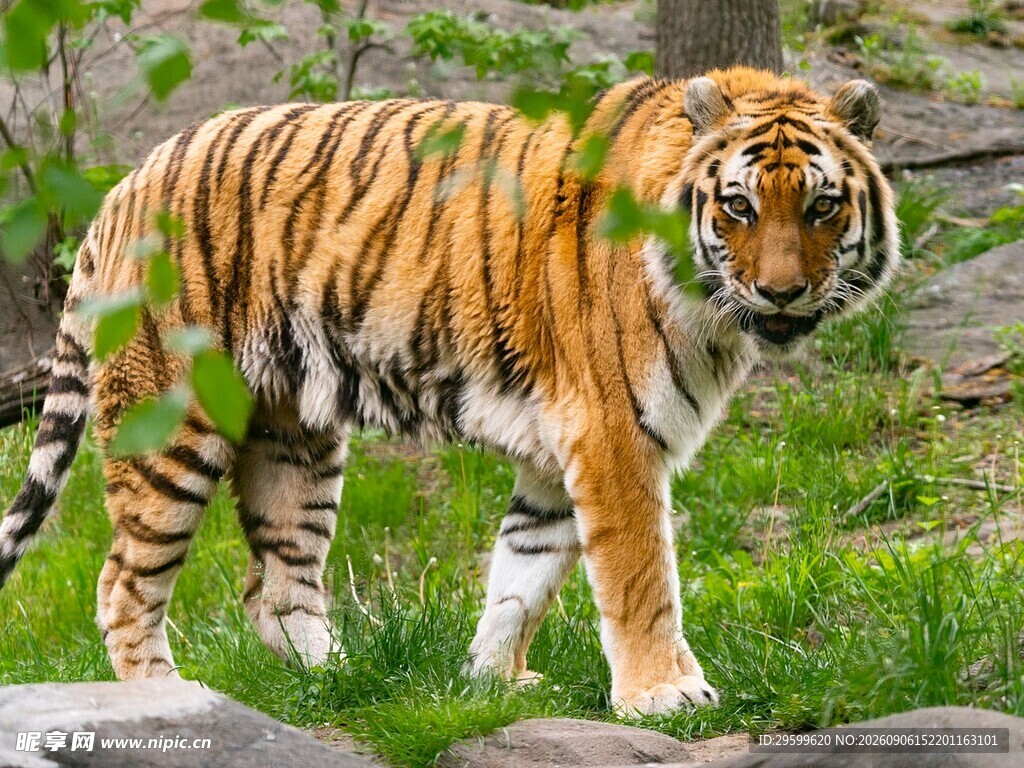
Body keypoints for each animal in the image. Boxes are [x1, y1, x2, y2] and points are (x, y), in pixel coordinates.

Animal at [0, 66, 898, 716]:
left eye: (821, 205)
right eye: (739, 207)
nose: (782, 294)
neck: (711, 310)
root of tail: (125, 182)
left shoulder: (559, 452)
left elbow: (521, 577)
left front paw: (488, 683)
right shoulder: (613, 435)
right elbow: (641, 577)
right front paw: (663, 693)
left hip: (295, 438)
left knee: (275, 585)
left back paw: (349, 681)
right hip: (172, 421)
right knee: (123, 583)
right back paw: (167, 698)